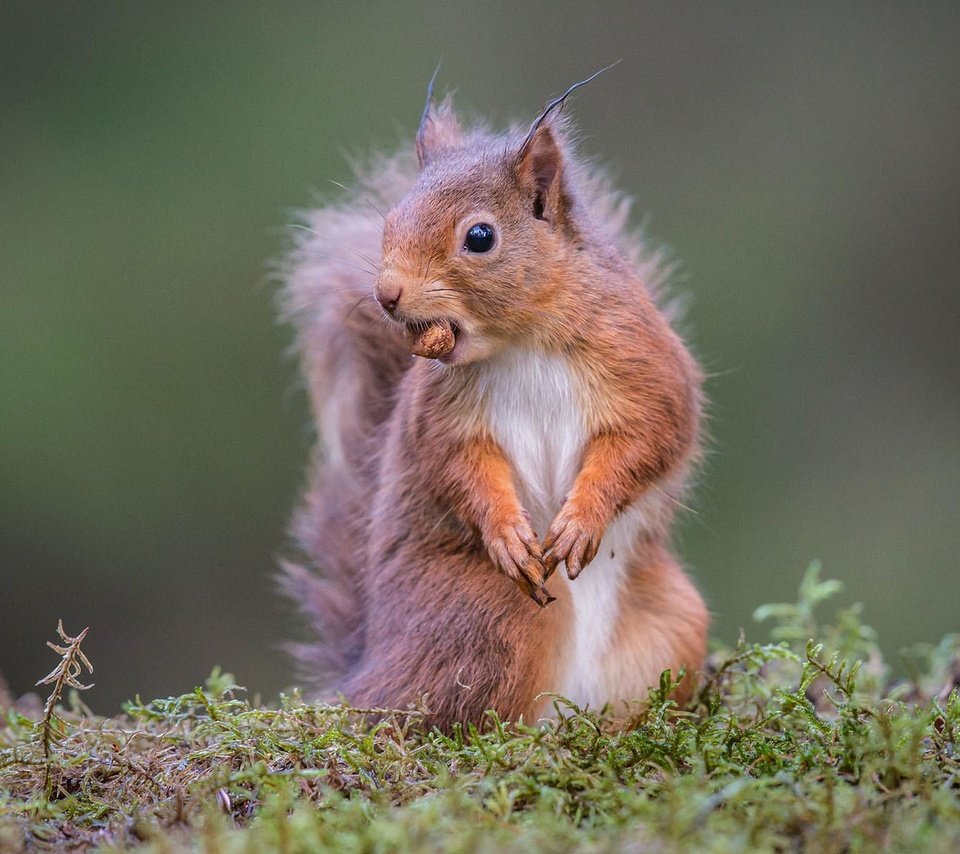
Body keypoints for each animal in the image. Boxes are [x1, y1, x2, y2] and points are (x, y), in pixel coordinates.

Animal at [282, 73, 708, 728]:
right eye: (391, 220)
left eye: (479, 237)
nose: (385, 295)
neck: (522, 338)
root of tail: (369, 666)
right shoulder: (439, 413)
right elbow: (457, 465)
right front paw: (507, 534)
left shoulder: (643, 365)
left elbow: (649, 437)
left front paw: (582, 520)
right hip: (491, 615)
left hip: (673, 623)